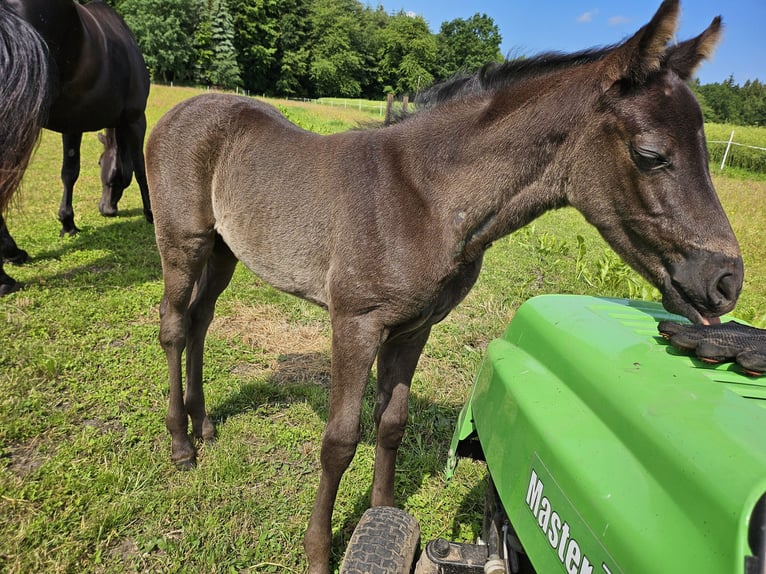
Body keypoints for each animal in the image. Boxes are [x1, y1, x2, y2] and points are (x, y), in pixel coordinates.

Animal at [0, 0, 152, 294]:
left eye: (100, 162)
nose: (106, 209)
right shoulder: (136, 119)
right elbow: (140, 169)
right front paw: (152, 213)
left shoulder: (73, 124)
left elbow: (69, 172)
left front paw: (68, 223)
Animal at [146, 2, 744, 572]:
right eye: (650, 154)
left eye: (706, 151)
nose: (726, 281)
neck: (427, 198)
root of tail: (179, 109)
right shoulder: (355, 322)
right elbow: (339, 440)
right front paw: (318, 552)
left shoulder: (414, 328)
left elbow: (391, 423)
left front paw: (381, 517)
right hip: (183, 243)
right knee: (174, 324)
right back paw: (180, 444)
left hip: (224, 250)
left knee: (200, 320)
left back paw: (205, 426)